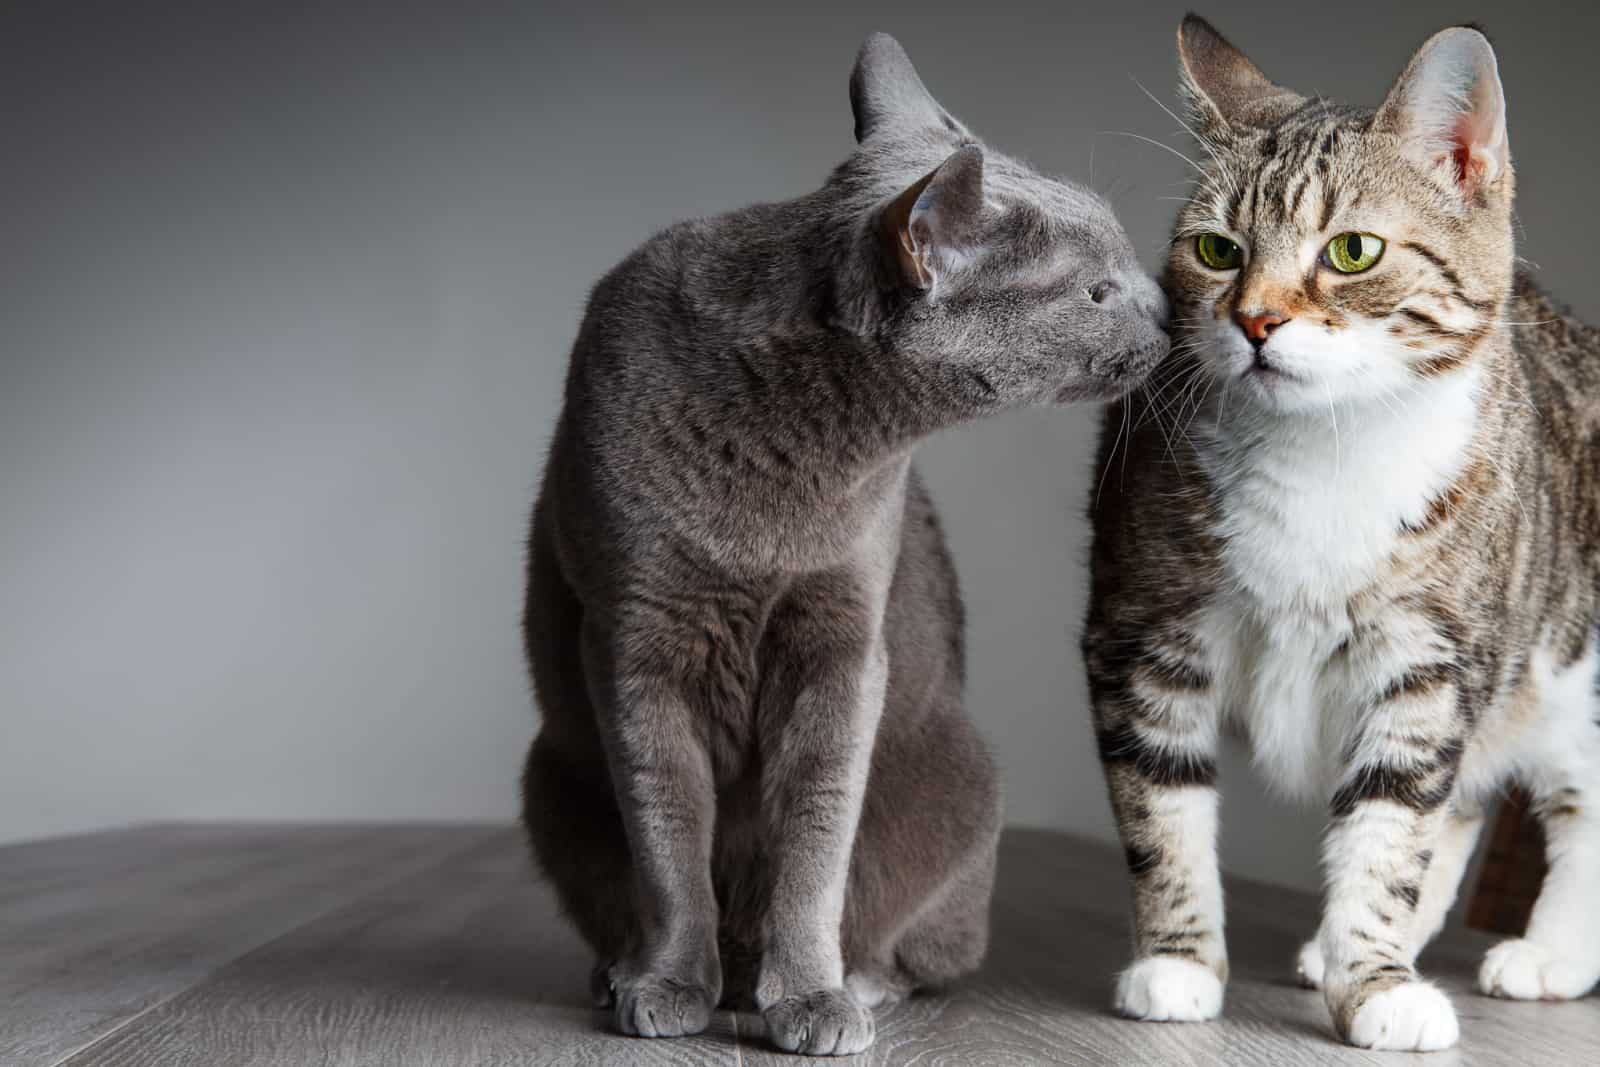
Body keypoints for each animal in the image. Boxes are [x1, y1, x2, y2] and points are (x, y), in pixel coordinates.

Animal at [521, 35, 1164, 1062]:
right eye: (1097, 290)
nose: (1170, 307)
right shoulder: (633, 637)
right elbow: (668, 832)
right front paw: (669, 982)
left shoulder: (842, 638)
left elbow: (817, 837)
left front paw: (812, 997)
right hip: (552, 776)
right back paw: (622, 971)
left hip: (962, 781)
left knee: (917, 945)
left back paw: (854, 980)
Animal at [1088, 14, 1600, 1049]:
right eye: (1217, 248)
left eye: (1353, 250)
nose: (1255, 319)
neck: (1322, 454)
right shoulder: (1142, 629)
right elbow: (1163, 811)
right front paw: (1179, 963)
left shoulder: (1430, 658)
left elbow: (1393, 824)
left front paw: (1377, 983)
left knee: (1570, 802)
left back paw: (1551, 953)